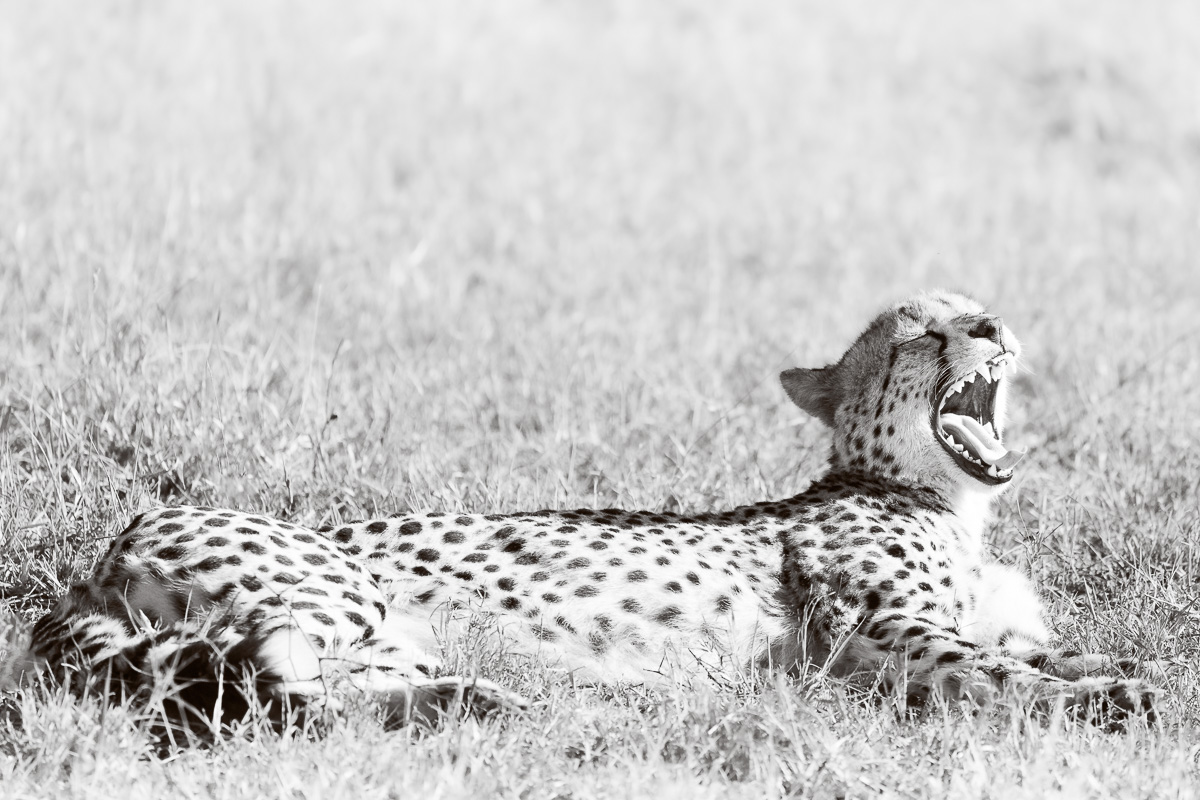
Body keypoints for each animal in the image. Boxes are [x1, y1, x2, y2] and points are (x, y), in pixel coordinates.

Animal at [0, 289, 1157, 731]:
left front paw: (1116, 670)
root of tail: (102, 549)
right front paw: (1113, 699)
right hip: (338, 591)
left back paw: (481, 703)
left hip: (381, 634)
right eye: (920, 331)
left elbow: (1042, 650)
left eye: (975, 305)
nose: (992, 327)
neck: (949, 502)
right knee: (272, 672)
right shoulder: (875, 637)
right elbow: (995, 673)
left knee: (291, 684)